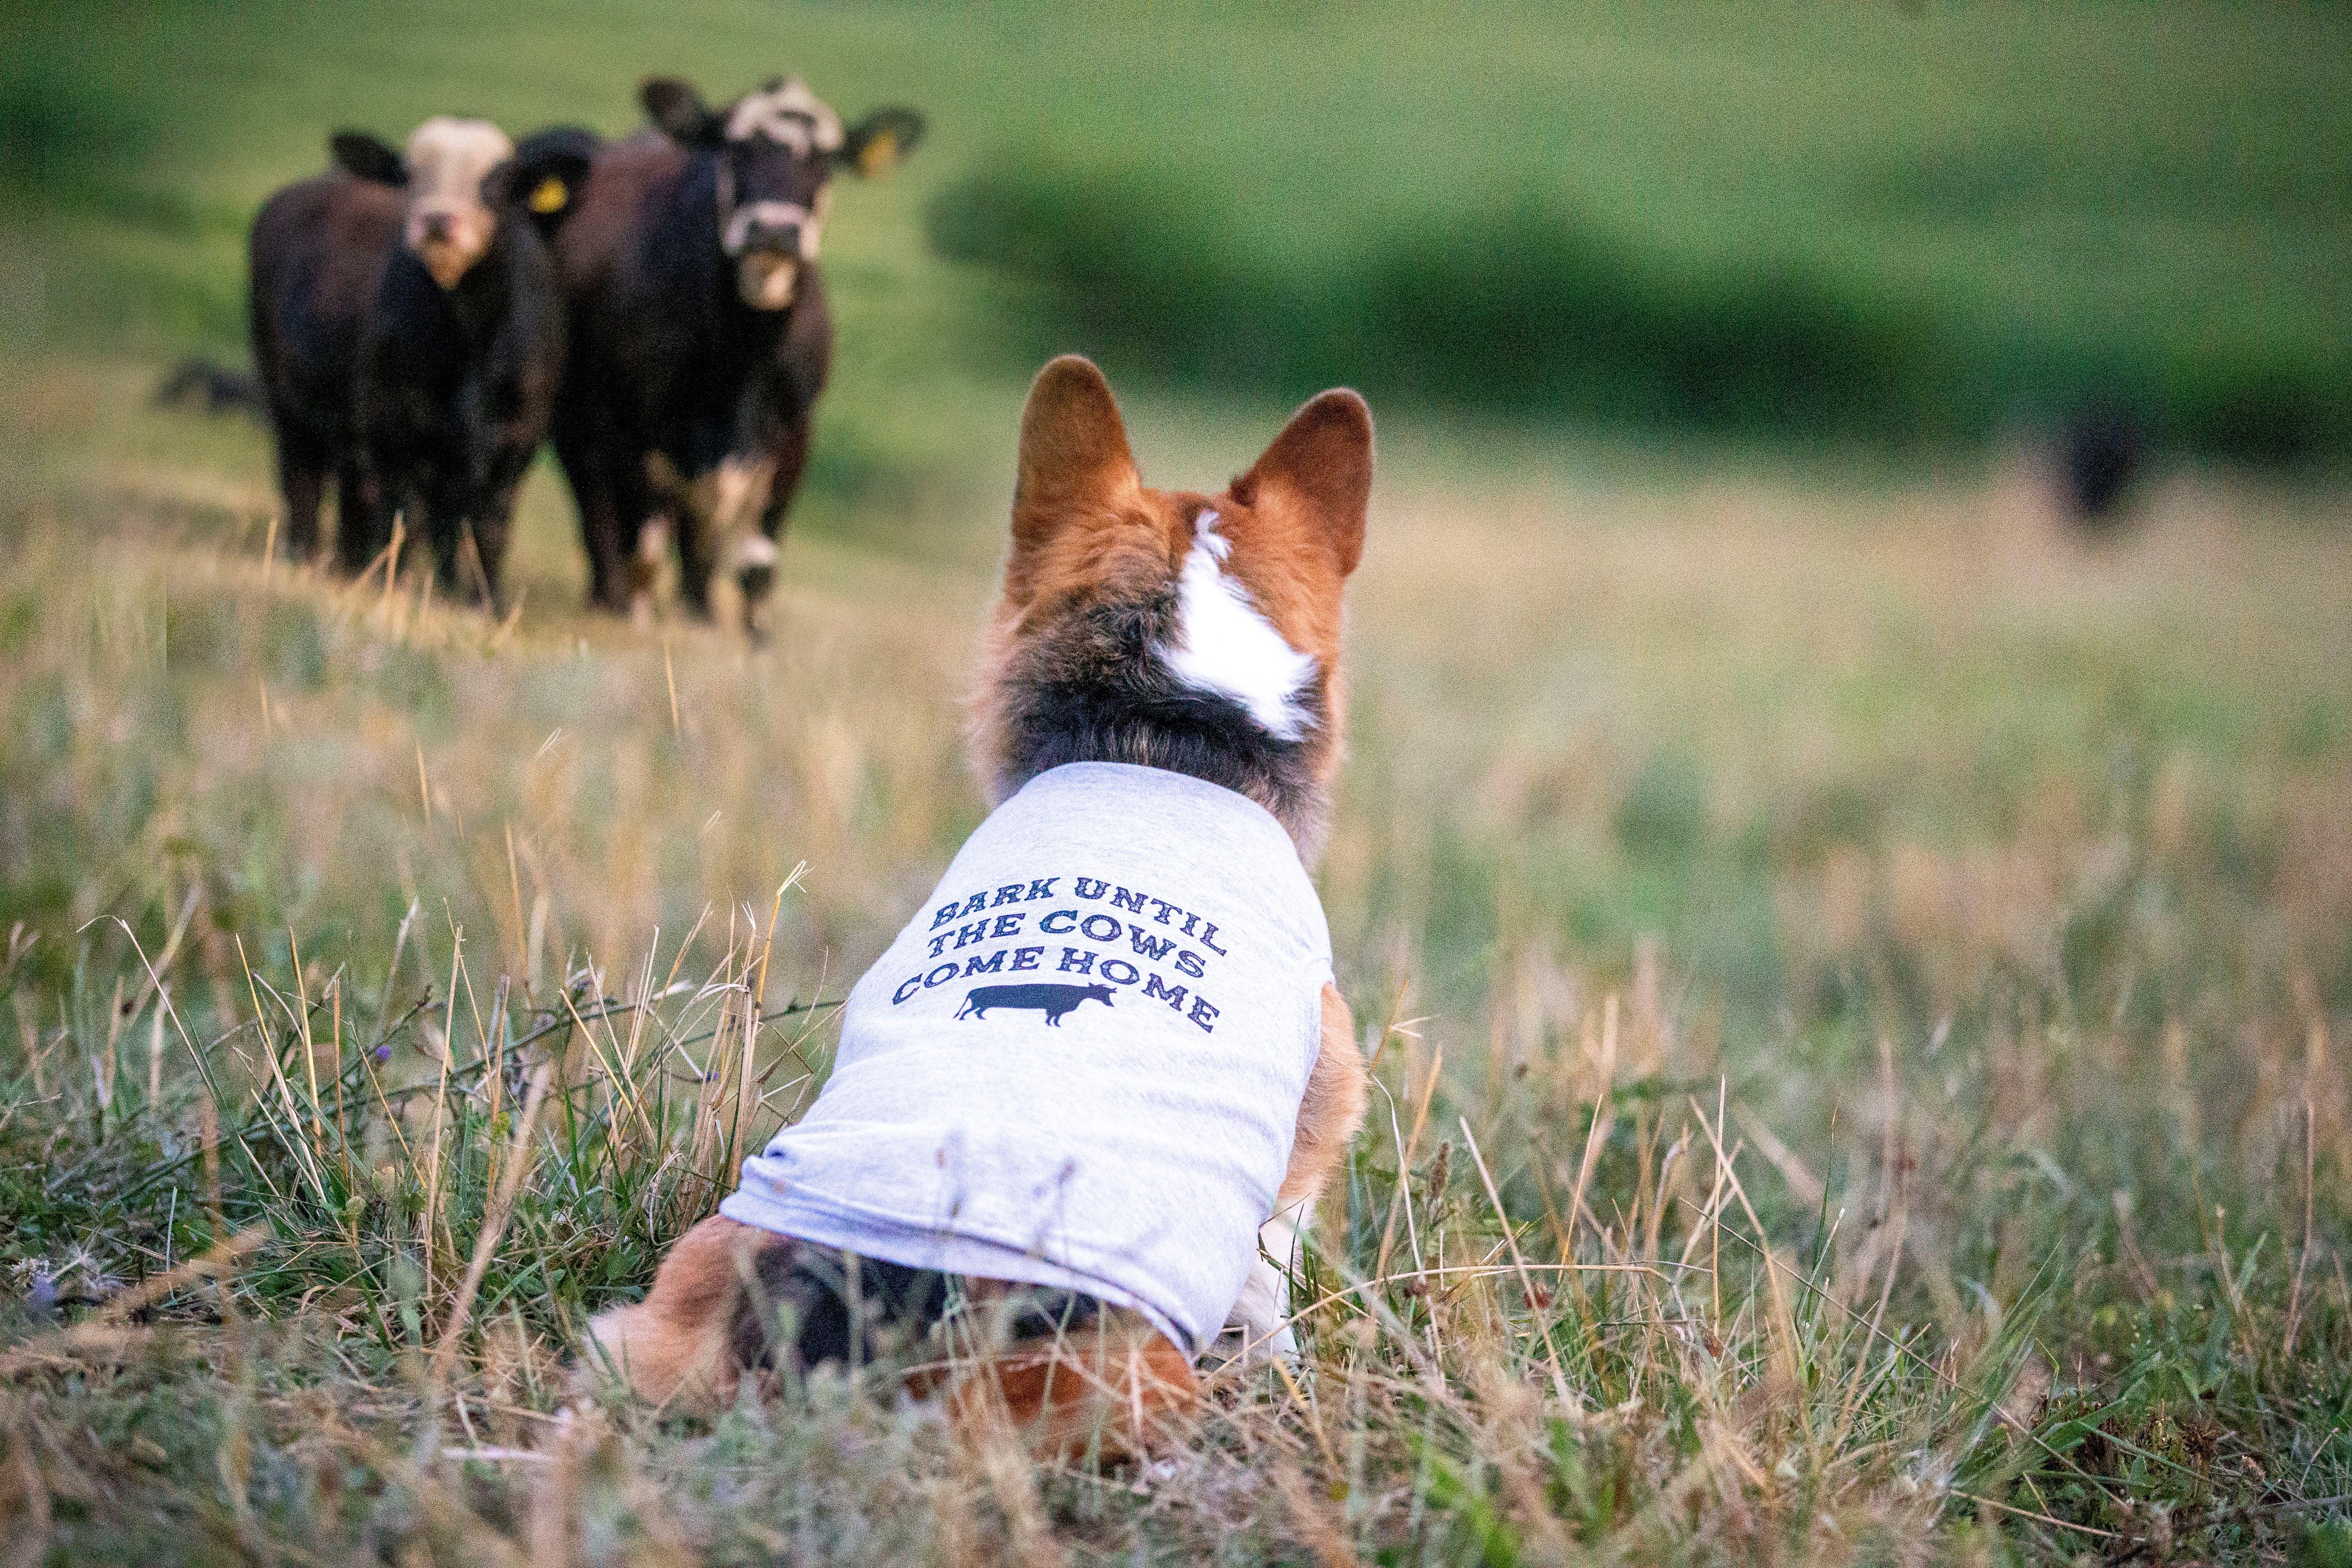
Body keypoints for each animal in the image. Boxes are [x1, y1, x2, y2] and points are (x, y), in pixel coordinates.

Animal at [247, 120, 593, 602]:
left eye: (499, 181)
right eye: (408, 177)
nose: (438, 221)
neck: (472, 345)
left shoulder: (517, 439)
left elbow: (488, 527)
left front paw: (482, 600)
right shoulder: (396, 428)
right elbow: (406, 516)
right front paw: (398, 587)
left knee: (355, 493)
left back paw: (349, 564)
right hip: (287, 401)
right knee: (304, 482)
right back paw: (304, 560)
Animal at [548, 72, 917, 625]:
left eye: (827, 160)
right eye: (736, 149)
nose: (776, 230)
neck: (742, 364)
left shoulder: (794, 432)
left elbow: (758, 567)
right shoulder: (637, 427)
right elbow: (644, 550)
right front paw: (636, 618)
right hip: (583, 426)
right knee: (602, 517)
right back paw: (608, 597)